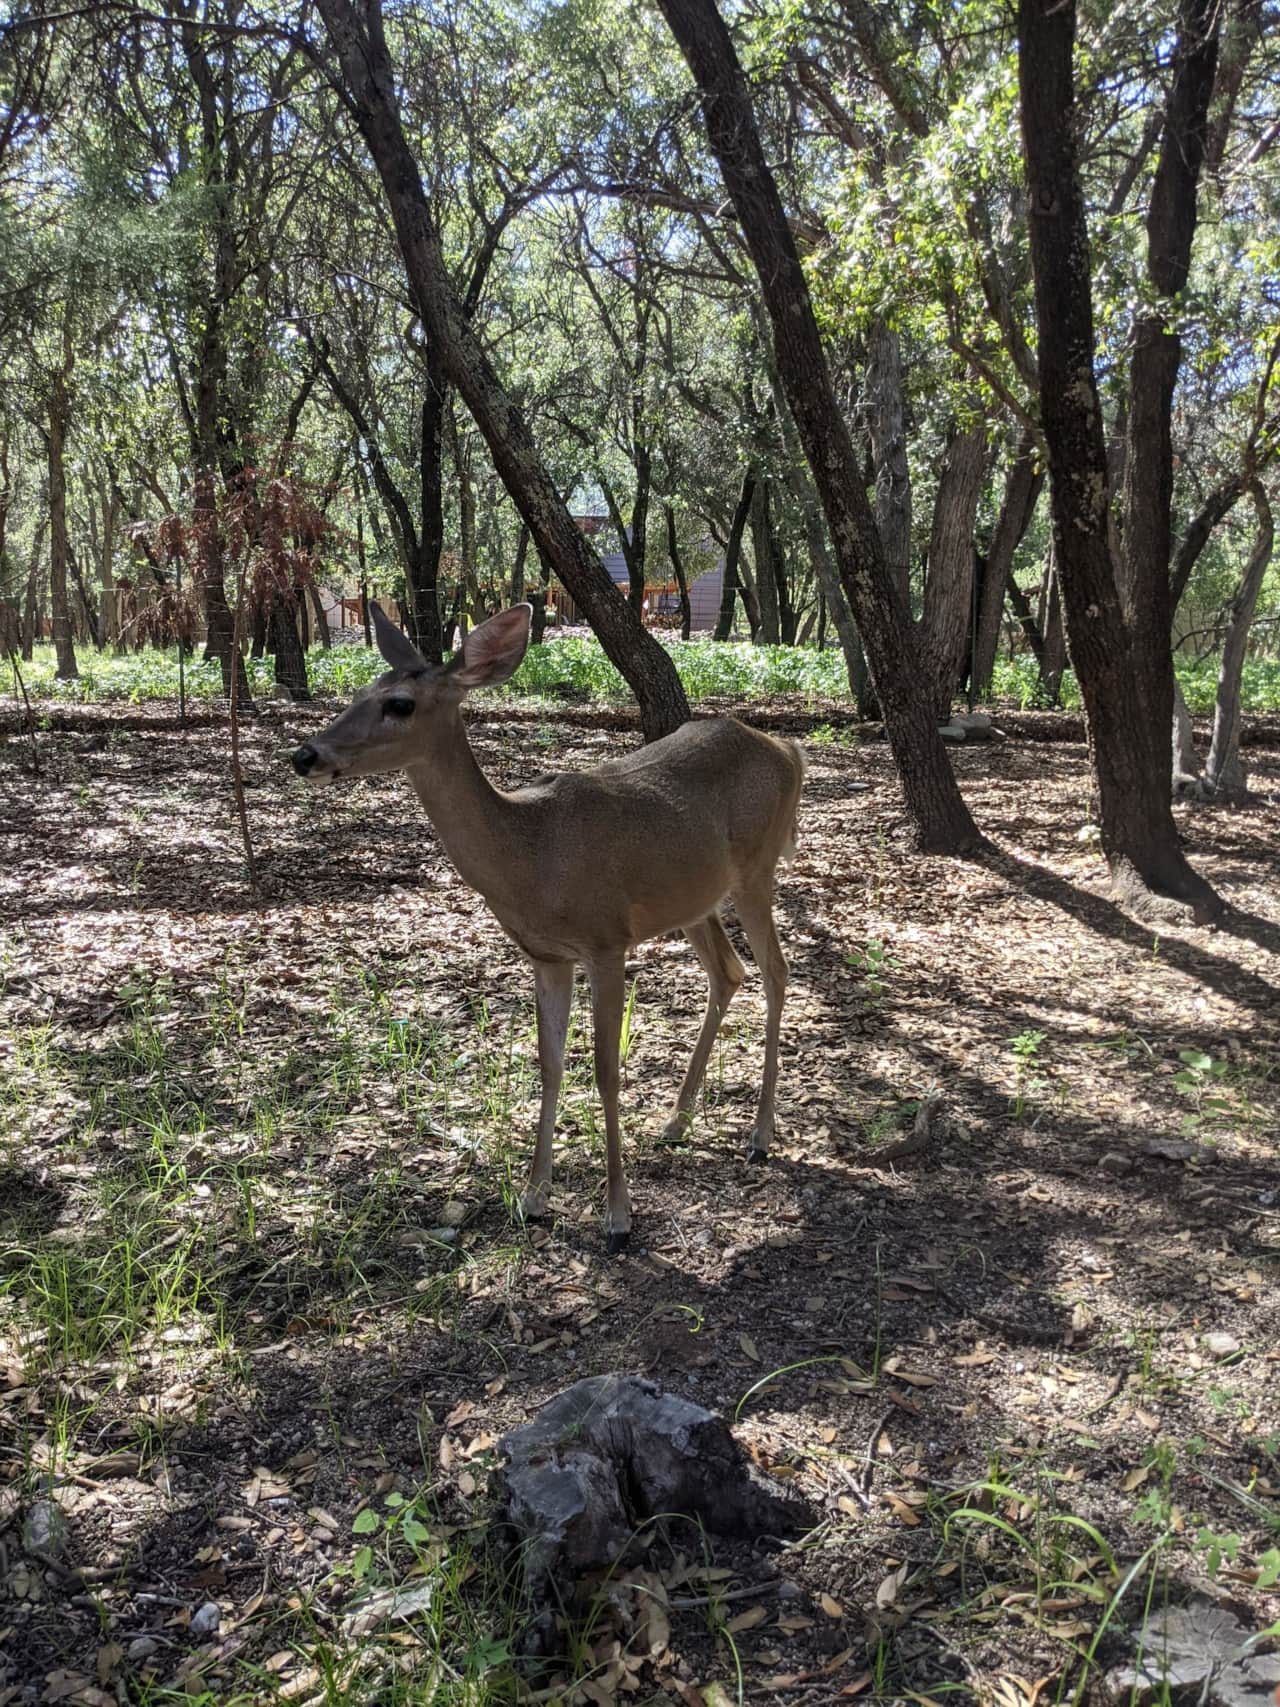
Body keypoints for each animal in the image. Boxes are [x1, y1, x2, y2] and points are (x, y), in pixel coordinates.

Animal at [291, 603, 806, 1253]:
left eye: (400, 704)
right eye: (358, 692)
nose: (305, 755)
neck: (530, 856)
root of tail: (788, 748)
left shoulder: (606, 940)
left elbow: (606, 1071)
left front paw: (617, 1215)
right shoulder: (546, 956)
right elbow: (550, 1063)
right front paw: (534, 1197)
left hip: (757, 868)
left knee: (776, 972)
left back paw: (760, 1135)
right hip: (692, 898)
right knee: (729, 971)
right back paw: (677, 1120)